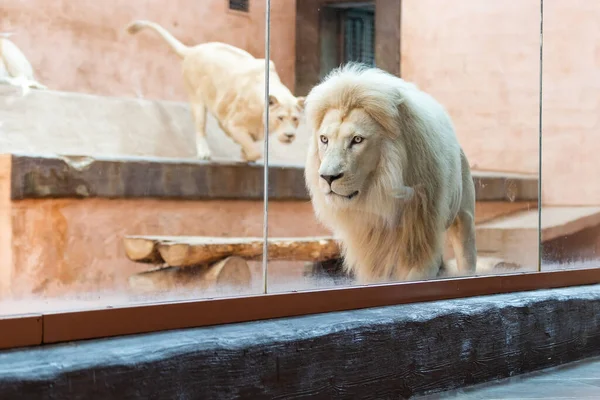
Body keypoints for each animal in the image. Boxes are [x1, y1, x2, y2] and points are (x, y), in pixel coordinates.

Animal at [304, 63, 478, 284]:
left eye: (357, 140)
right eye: (324, 139)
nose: (328, 177)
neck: (381, 194)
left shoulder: (421, 237)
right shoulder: (372, 249)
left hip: (464, 218)